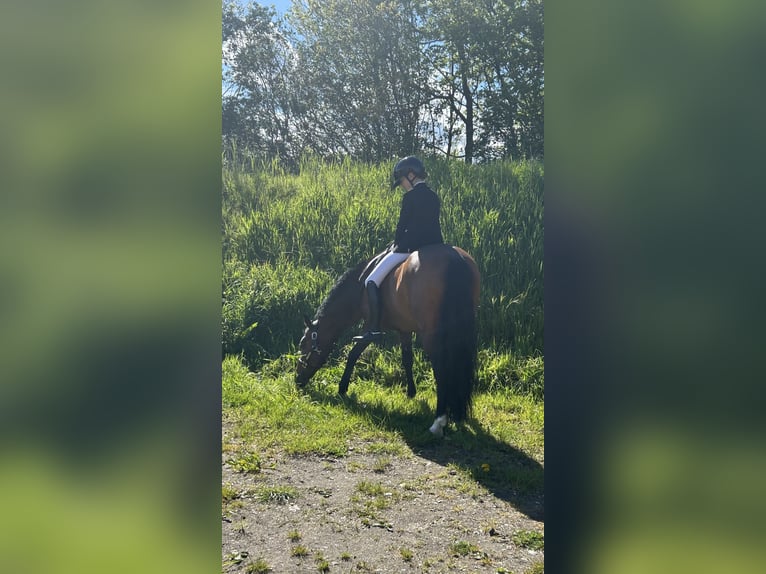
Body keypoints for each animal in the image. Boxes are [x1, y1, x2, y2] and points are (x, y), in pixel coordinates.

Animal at [296, 243, 480, 436]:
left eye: (303, 343)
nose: (297, 380)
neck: (360, 287)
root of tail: (453, 258)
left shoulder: (370, 326)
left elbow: (354, 353)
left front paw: (342, 387)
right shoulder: (404, 329)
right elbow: (407, 360)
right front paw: (411, 393)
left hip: (431, 334)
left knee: (441, 371)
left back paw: (438, 422)